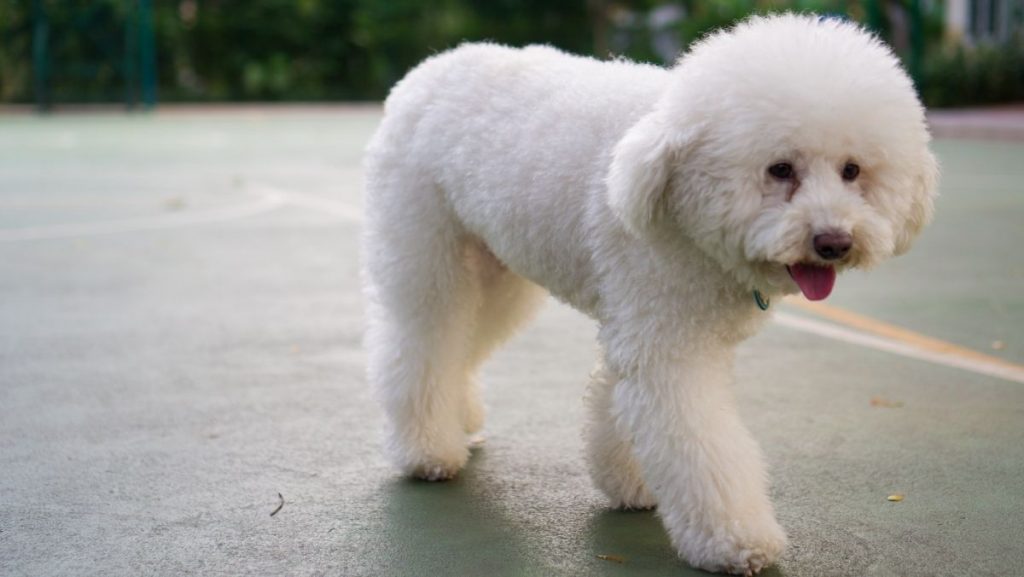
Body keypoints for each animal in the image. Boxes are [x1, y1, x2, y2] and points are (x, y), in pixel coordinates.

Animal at [360, 13, 937, 577]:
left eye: (852, 170)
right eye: (780, 169)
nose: (834, 242)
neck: (676, 197)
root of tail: (433, 67)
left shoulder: (643, 326)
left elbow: (615, 402)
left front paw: (630, 484)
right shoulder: (667, 347)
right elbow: (701, 446)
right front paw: (736, 541)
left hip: (498, 275)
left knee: (461, 345)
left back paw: (460, 419)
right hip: (429, 257)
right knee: (421, 344)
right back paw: (428, 450)